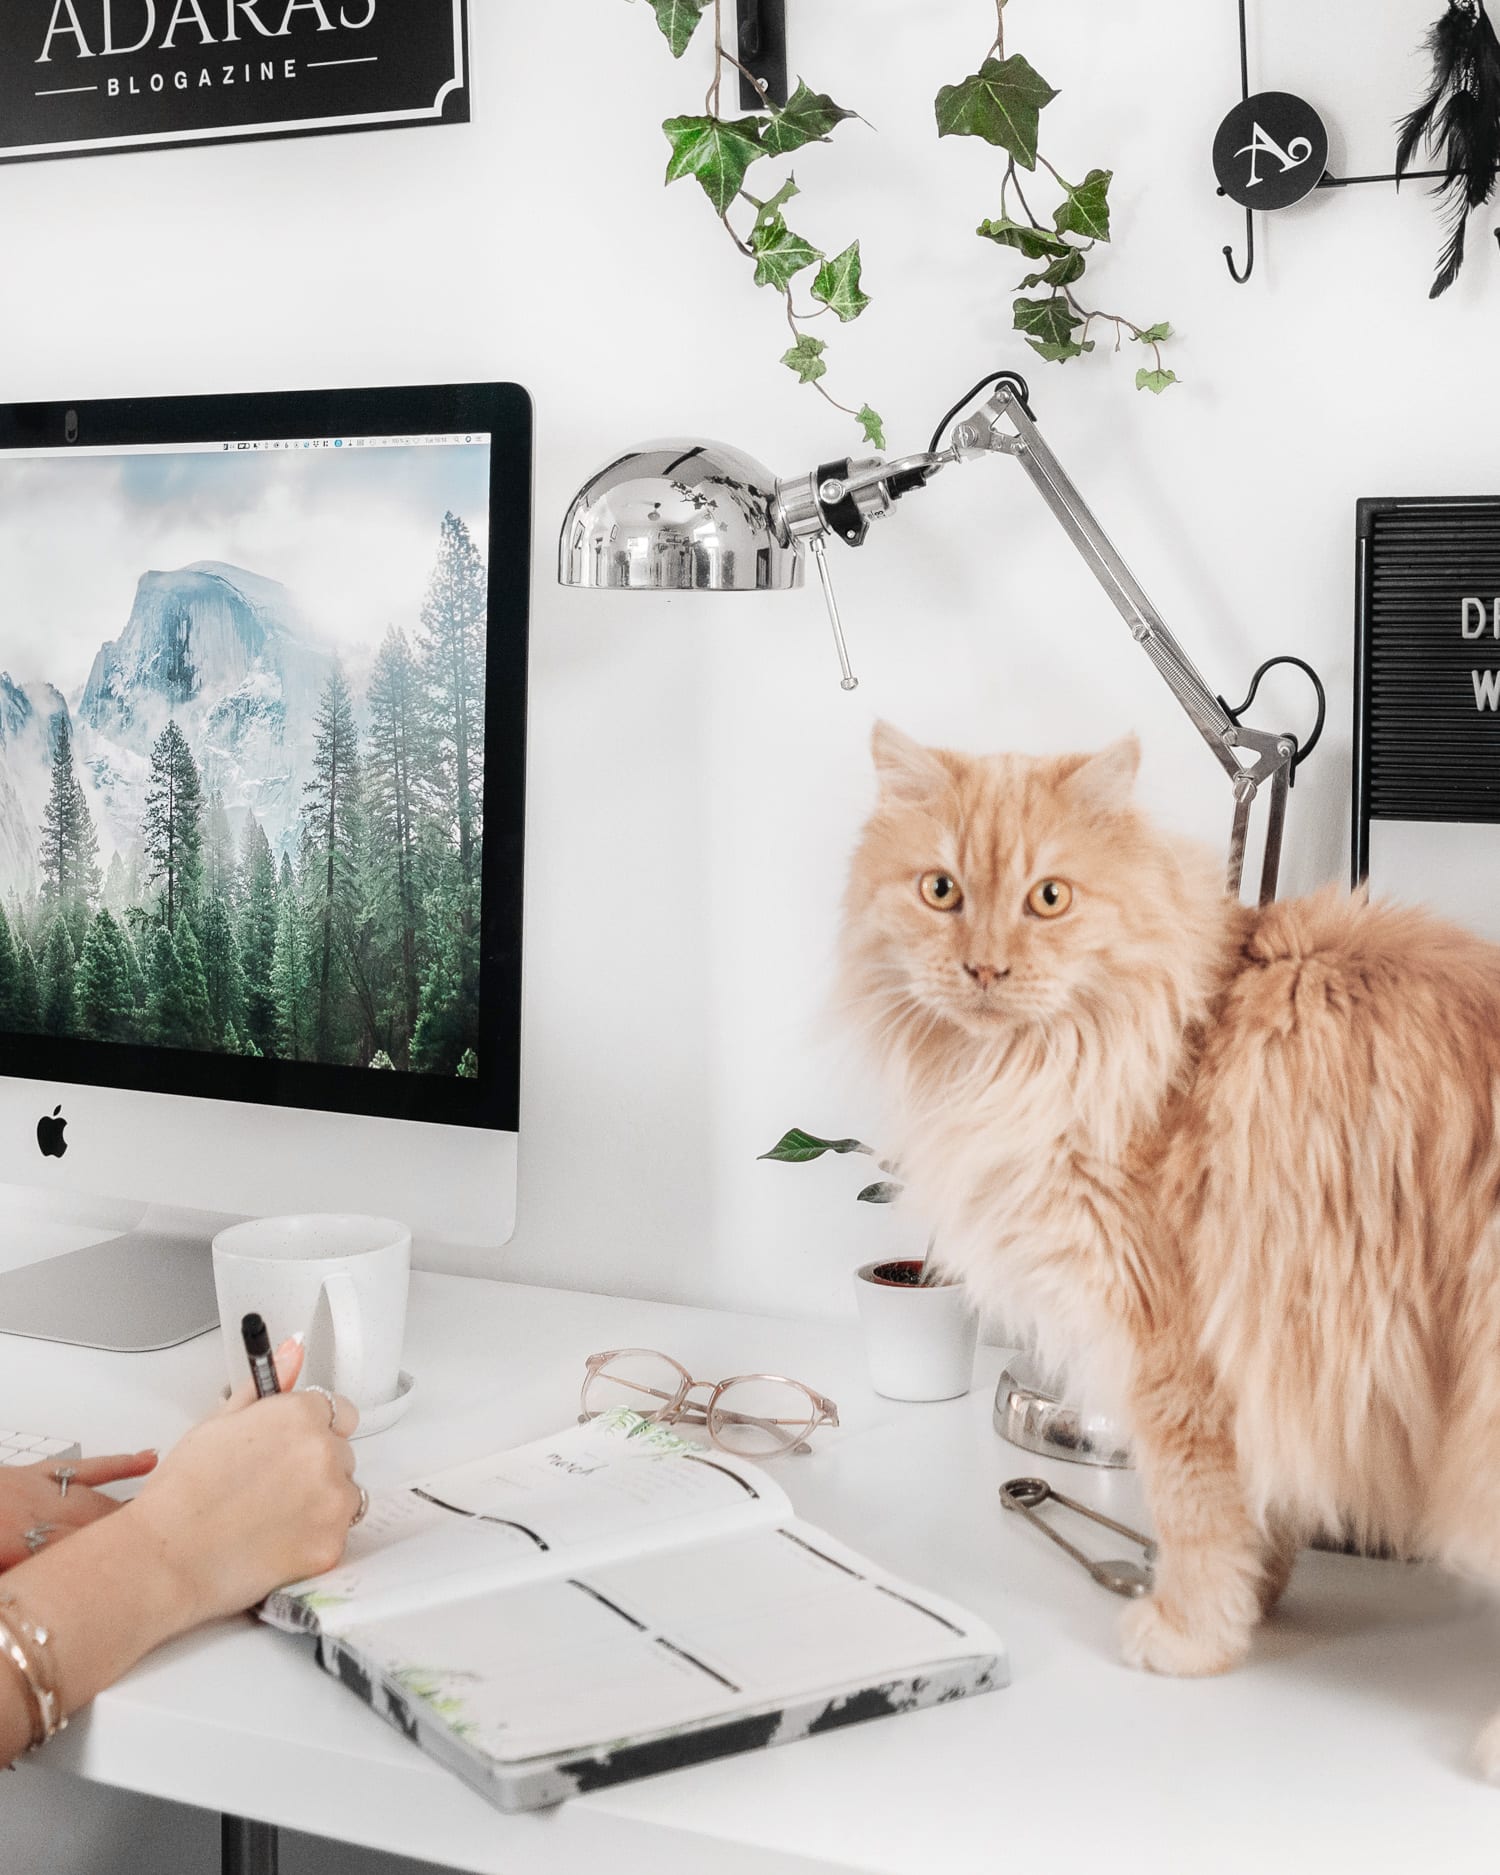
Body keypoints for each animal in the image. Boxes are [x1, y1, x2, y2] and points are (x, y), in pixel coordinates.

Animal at [843, 720, 1500, 1770]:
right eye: (940, 890)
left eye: (1050, 897)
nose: (985, 969)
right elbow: (1256, 1514)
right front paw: (1256, 1605)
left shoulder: (1177, 1347)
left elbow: (1196, 1512)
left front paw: (1193, 1634)